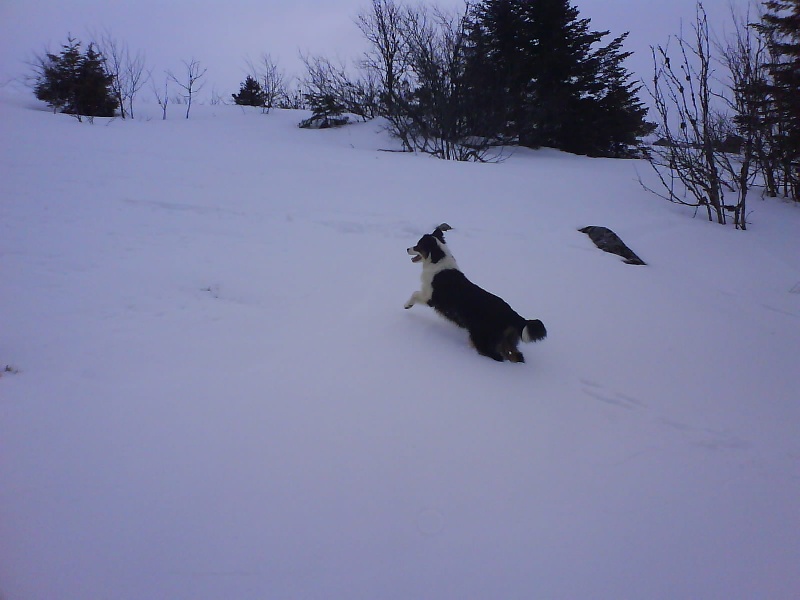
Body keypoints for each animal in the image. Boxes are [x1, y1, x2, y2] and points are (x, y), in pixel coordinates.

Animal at [404, 224, 546, 362]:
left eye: (418, 245)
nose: (407, 248)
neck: (437, 259)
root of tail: (513, 315)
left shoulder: (431, 298)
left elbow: (415, 293)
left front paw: (407, 305)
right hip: (505, 341)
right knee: (516, 356)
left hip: (482, 336)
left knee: (495, 355)